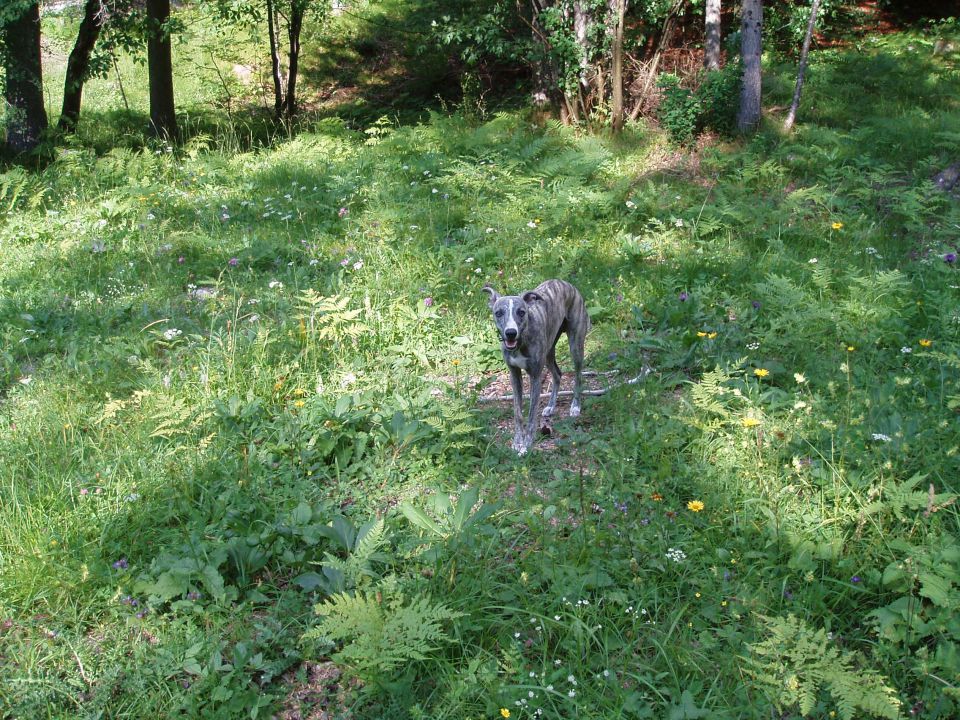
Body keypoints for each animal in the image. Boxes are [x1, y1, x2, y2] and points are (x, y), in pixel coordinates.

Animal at [484, 278, 588, 452]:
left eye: (521, 312)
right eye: (498, 312)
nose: (510, 333)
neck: (520, 342)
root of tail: (565, 282)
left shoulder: (535, 376)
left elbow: (532, 415)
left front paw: (526, 444)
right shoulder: (514, 375)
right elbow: (518, 413)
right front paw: (517, 442)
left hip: (575, 346)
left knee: (578, 375)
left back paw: (575, 406)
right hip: (548, 353)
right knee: (557, 374)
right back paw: (551, 406)